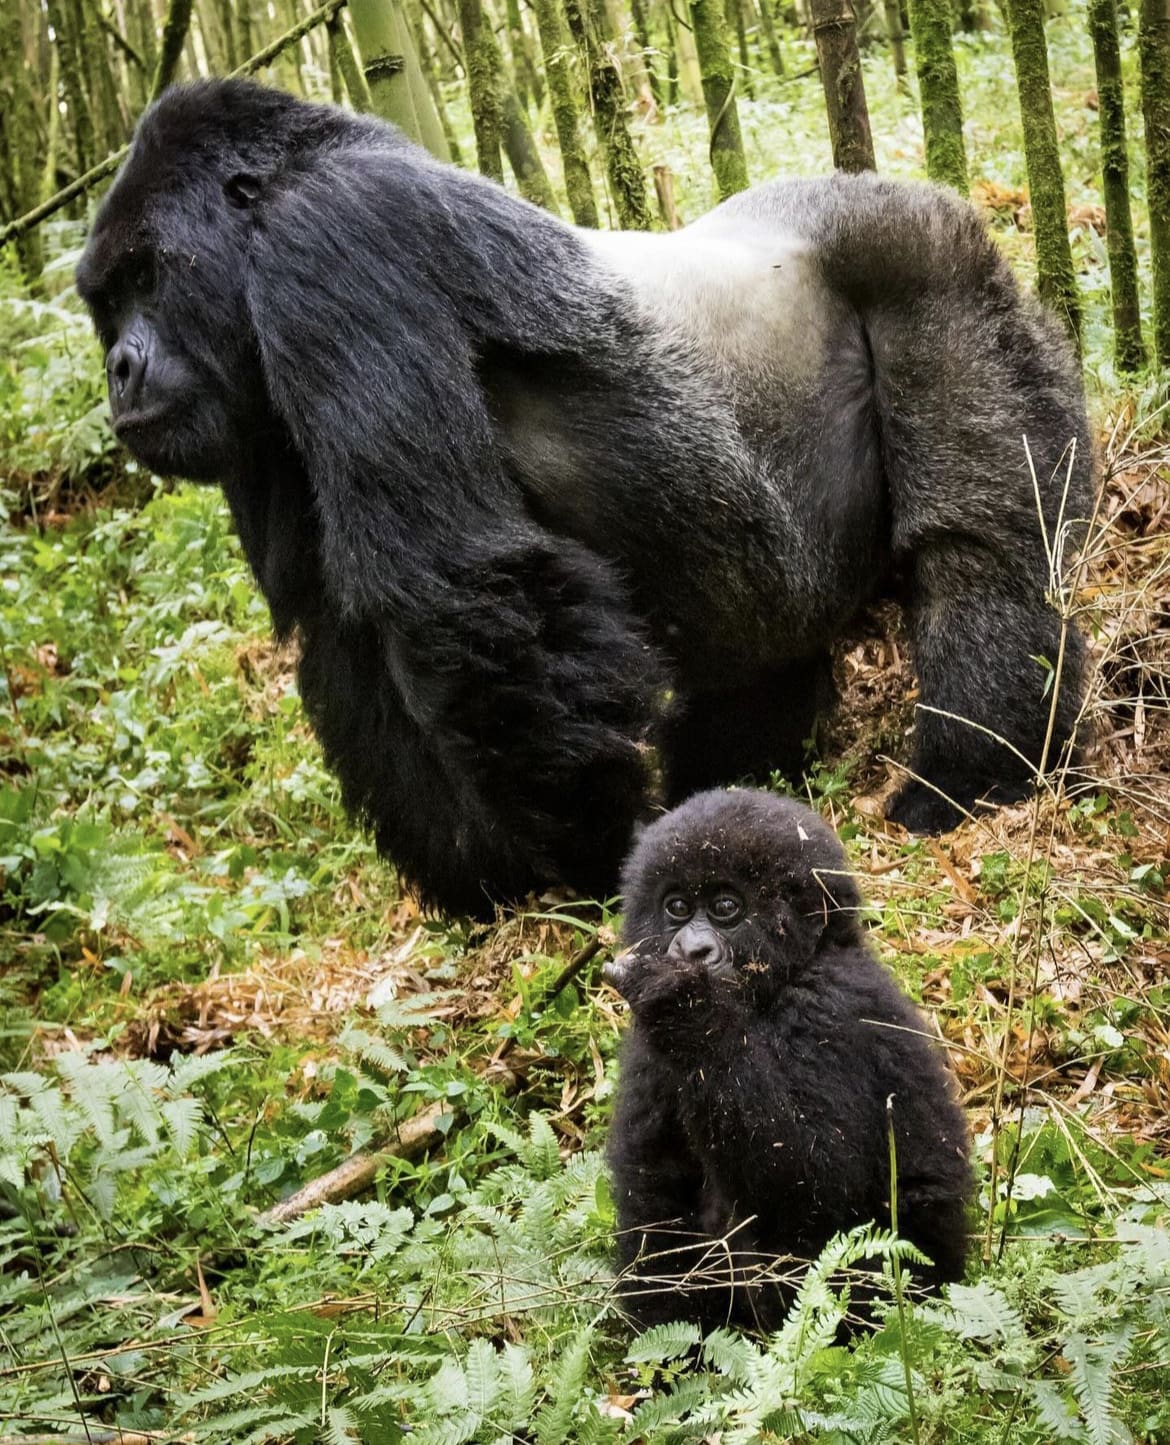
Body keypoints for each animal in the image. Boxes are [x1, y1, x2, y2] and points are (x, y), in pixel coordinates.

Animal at [77, 82, 1092, 913]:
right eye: (105, 301)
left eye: (146, 274)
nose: (118, 369)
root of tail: (924, 188)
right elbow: (347, 641)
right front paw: (486, 886)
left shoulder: (334, 239)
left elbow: (460, 583)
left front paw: (592, 856)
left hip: (931, 258)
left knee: (982, 545)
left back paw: (973, 770)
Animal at [606, 791, 970, 1329]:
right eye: (676, 908)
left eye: (726, 908)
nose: (691, 950)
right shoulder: (648, 1056)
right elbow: (654, 1185)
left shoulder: (827, 1005)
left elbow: (814, 1181)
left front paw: (685, 1008)